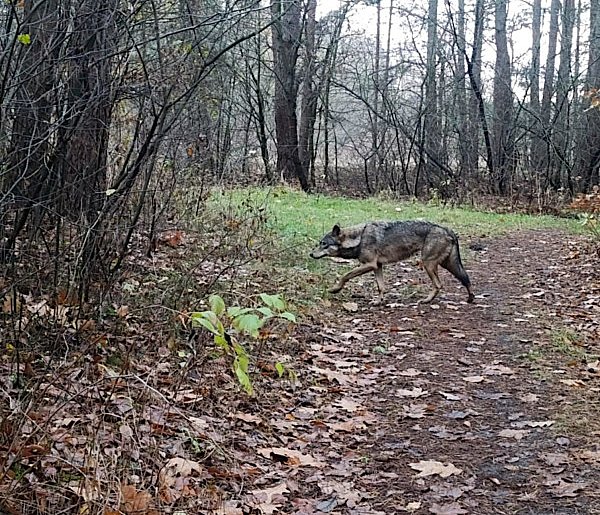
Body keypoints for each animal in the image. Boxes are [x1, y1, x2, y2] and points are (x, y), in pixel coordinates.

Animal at [310, 220, 474, 304]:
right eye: (319, 243)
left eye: (324, 244)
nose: (311, 254)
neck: (359, 238)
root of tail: (448, 229)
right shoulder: (377, 266)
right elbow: (381, 287)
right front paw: (379, 301)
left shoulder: (369, 265)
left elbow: (346, 275)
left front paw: (335, 289)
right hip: (447, 265)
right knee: (466, 279)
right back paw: (470, 298)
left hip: (428, 264)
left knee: (439, 285)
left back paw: (426, 300)